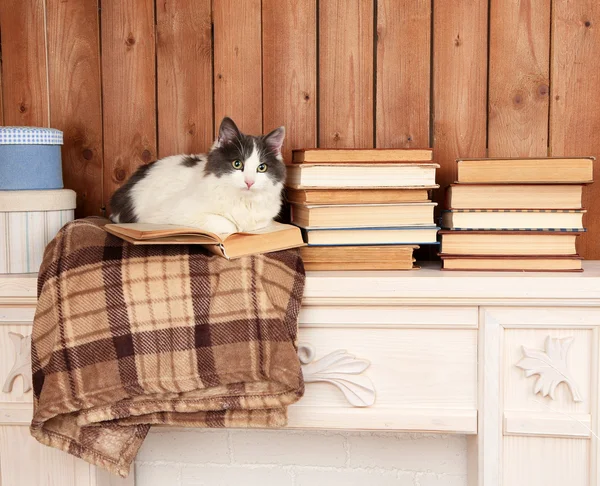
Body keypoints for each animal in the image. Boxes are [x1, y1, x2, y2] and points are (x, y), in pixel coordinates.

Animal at [109, 116, 286, 234]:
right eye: (237, 164)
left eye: (262, 167)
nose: (249, 182)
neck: (244, 201)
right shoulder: (173, 212)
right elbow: (230, 226)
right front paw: (235, 226)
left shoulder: (264, 218)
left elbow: (258, 223)